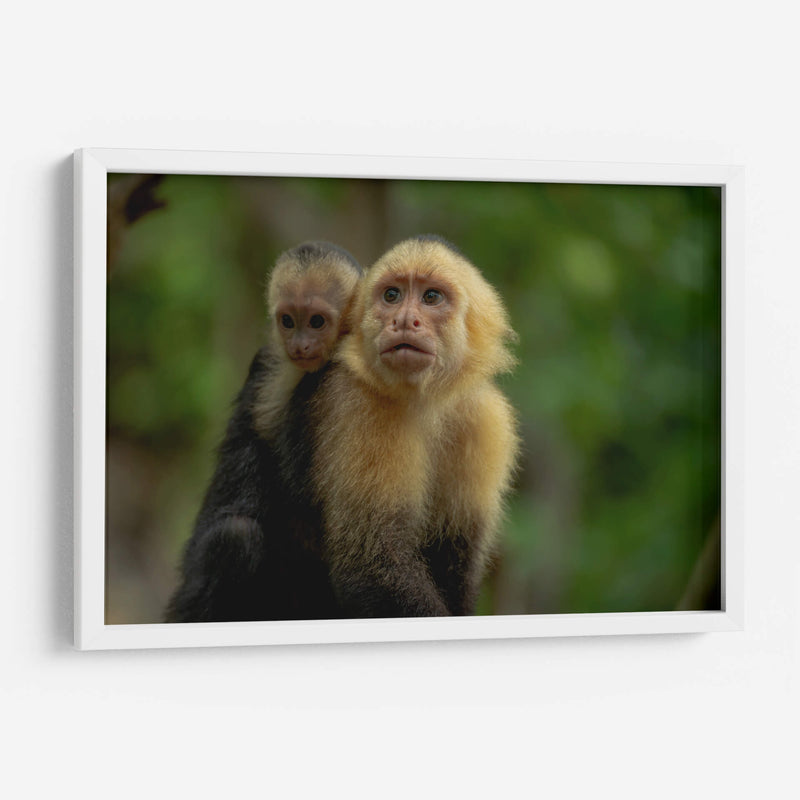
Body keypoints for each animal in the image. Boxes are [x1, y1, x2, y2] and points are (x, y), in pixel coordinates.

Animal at [306, 235, 519, 618]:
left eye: (431, 297)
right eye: (392, 295)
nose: (405, 320)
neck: (428, 402)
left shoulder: (486, 419)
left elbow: (458, 562)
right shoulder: (362, 402)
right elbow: (370, 564)